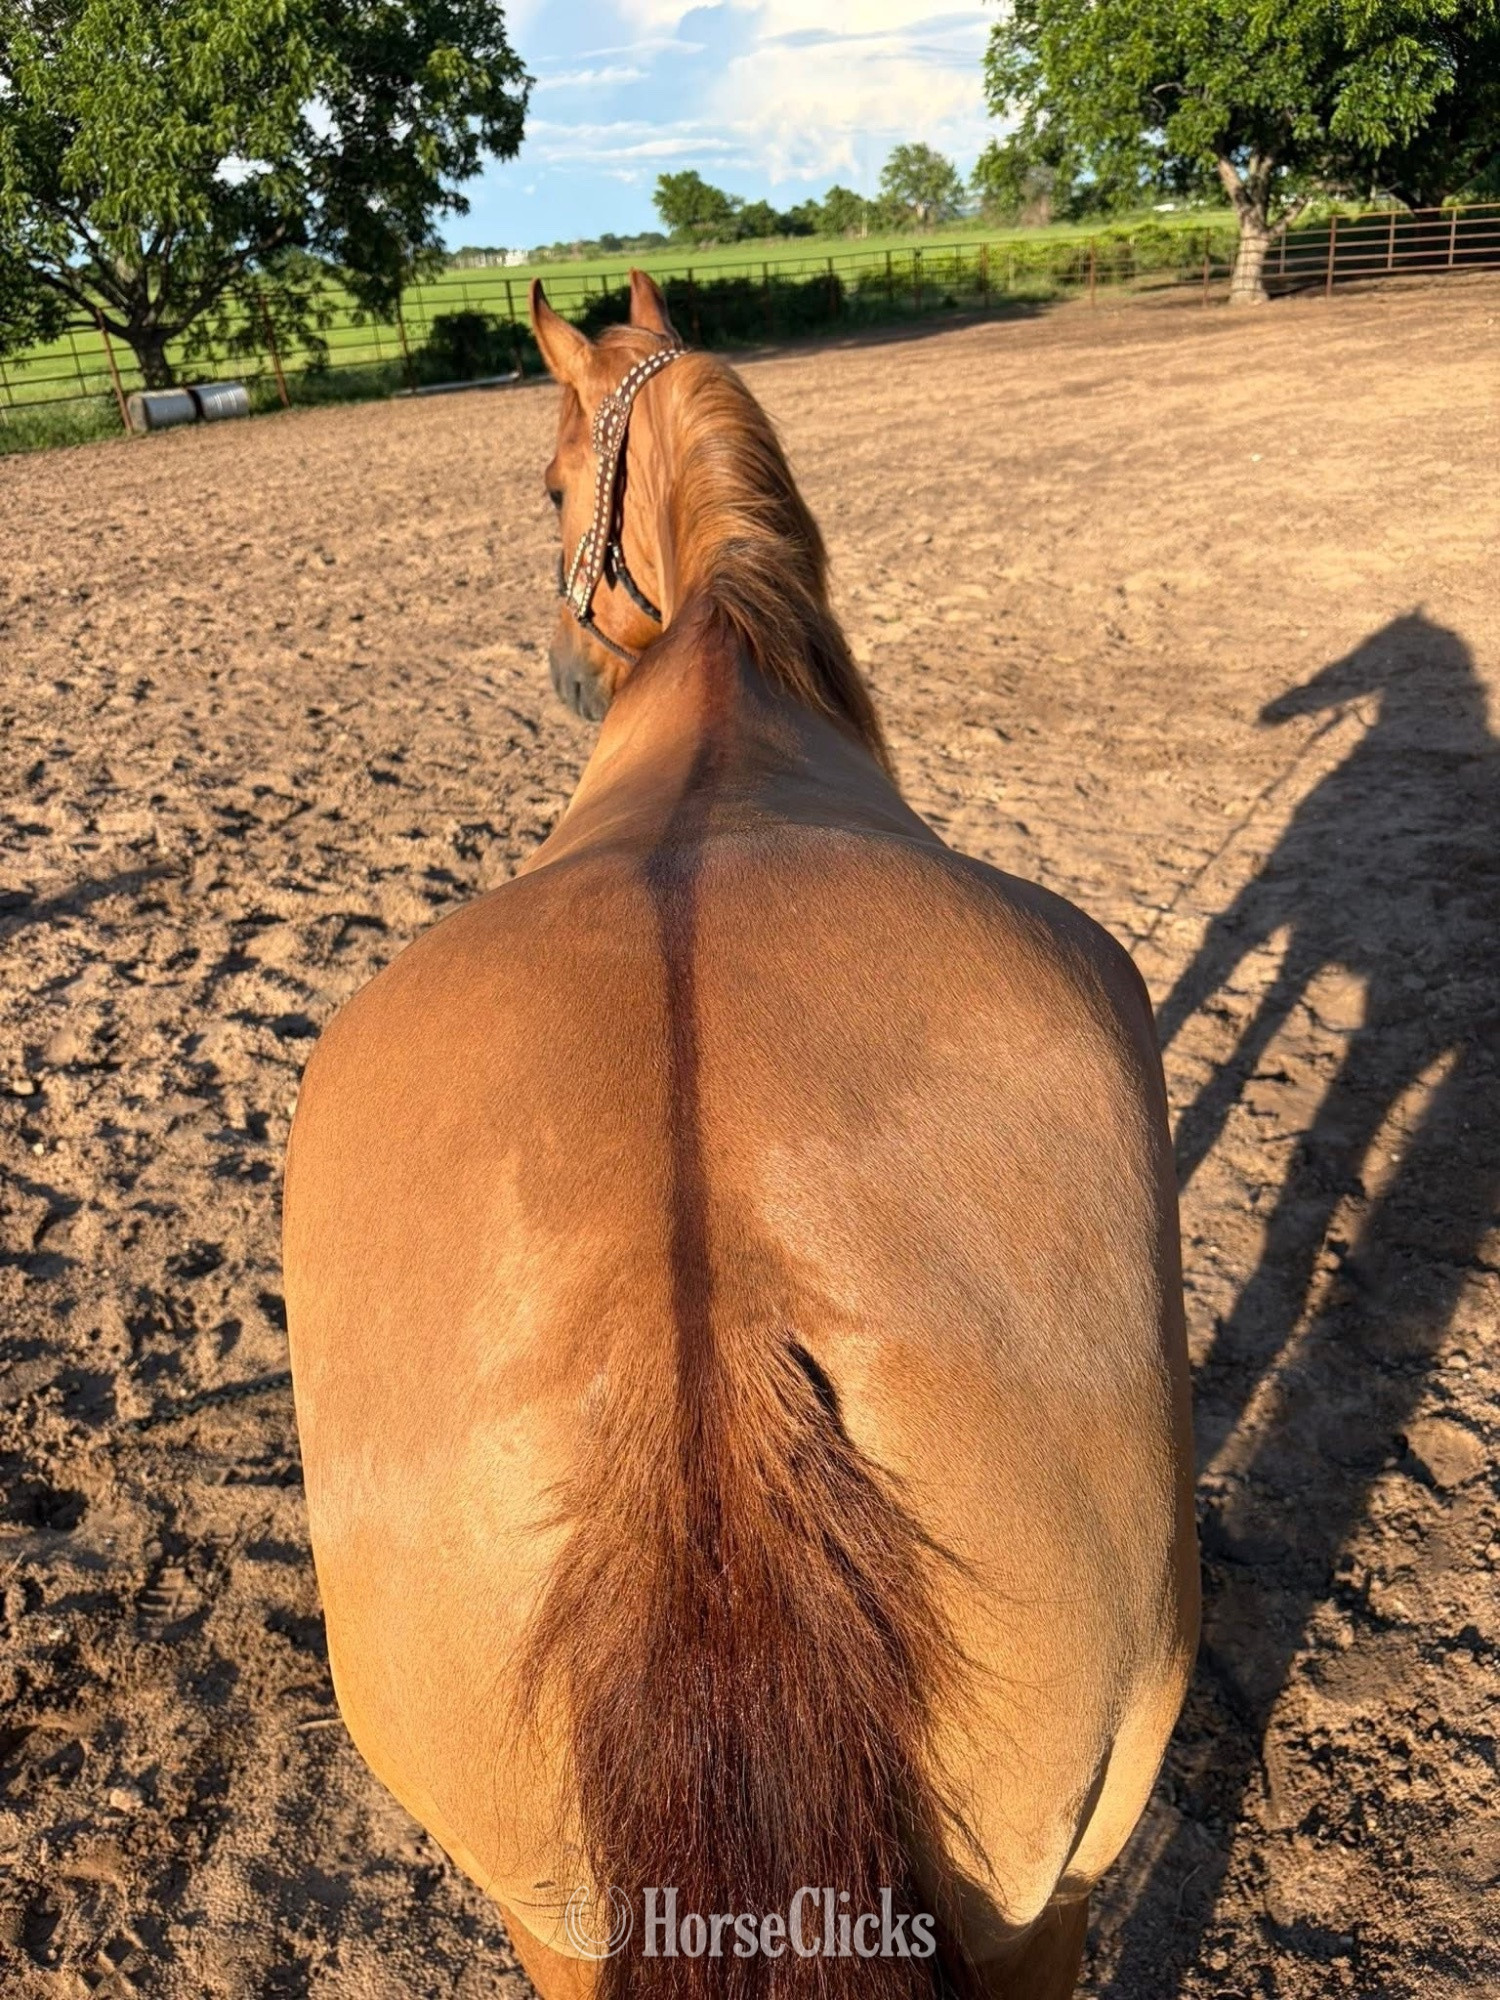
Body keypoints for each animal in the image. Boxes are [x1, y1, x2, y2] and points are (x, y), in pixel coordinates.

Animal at [282, 268, 1198, 2000]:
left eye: (550, 485)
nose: (564, 659)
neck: (719, 673)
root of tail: (706, 1322)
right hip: (1031, 1887)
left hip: (596, 1914)